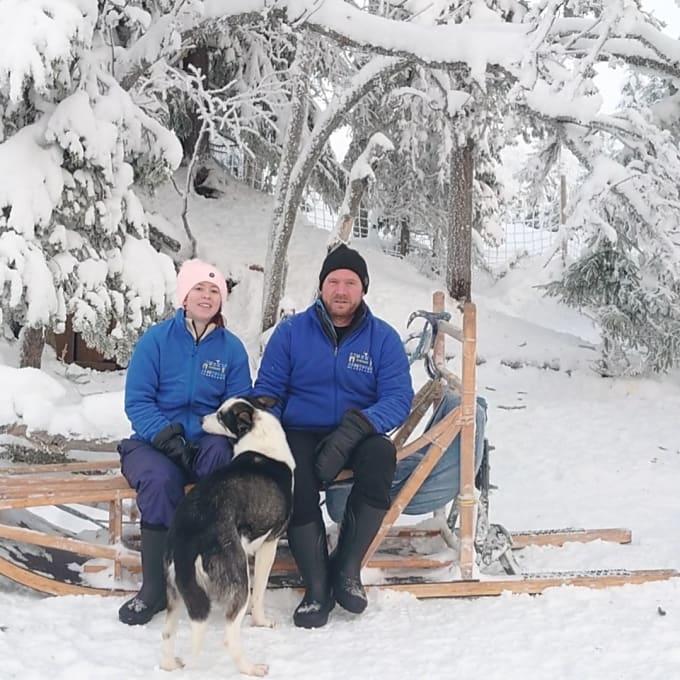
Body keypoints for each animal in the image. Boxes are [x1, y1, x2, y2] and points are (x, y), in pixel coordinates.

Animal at [162, 396, 298, 676]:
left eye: (220, 415)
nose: (200, 419)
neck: (257, 433)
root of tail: (189, 535)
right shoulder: (269, 544)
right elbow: (259, 592)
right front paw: (260, 622)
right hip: (237, 578)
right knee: (228, 637)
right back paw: (251, 668)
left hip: (175, 591)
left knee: (167, 632)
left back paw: (169, 664)